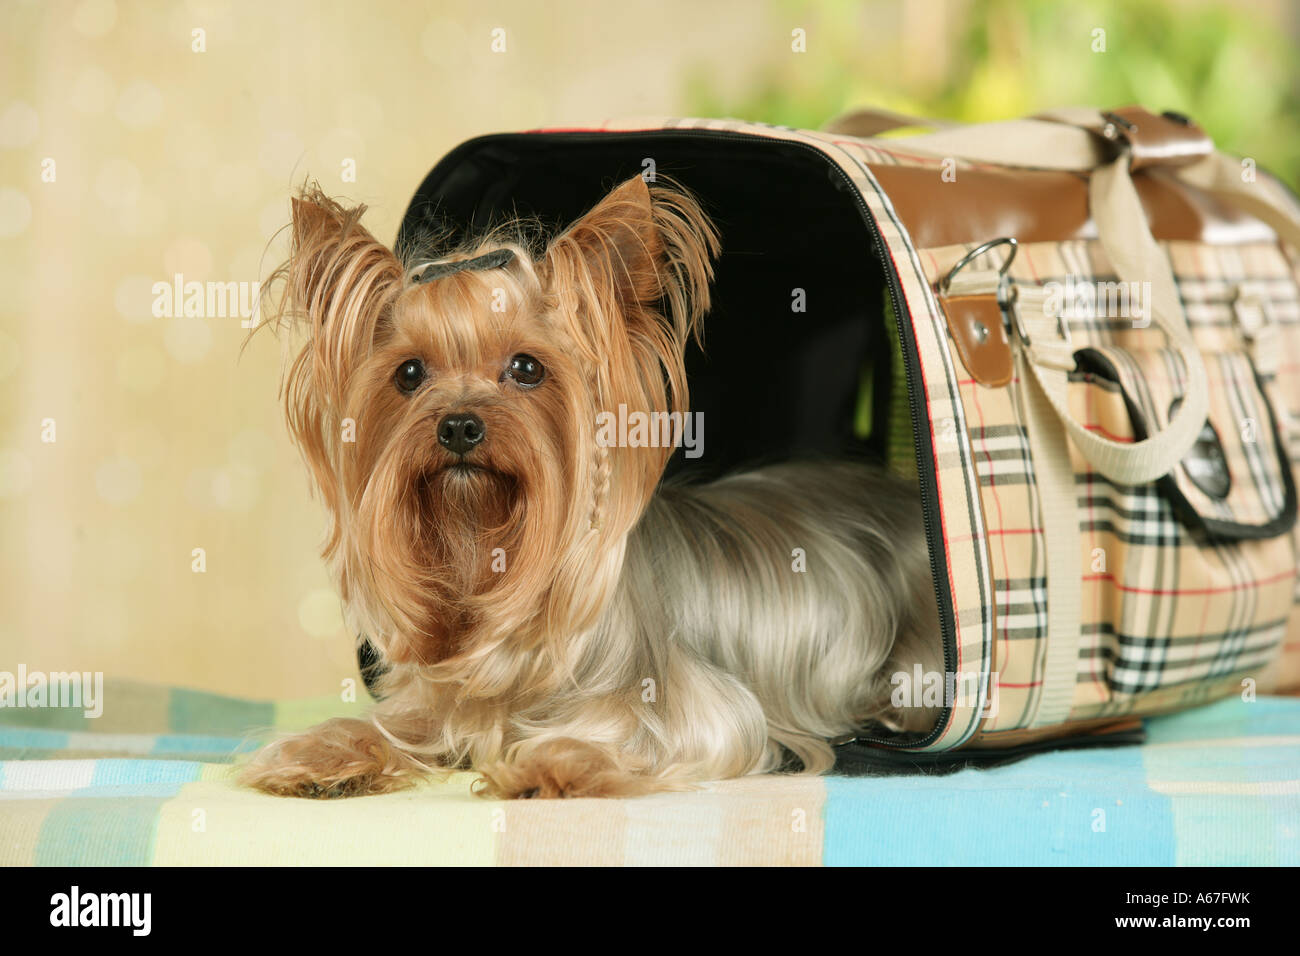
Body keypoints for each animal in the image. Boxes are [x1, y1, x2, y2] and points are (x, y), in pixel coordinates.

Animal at [241, 174, 935, 801]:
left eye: (526, 367)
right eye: (409, 373)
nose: (459, 425)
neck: (482, 548)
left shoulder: (700, 713)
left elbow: (645, 737)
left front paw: (550, 763)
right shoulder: (435, 704)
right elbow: (393, 726)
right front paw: (320, 755)